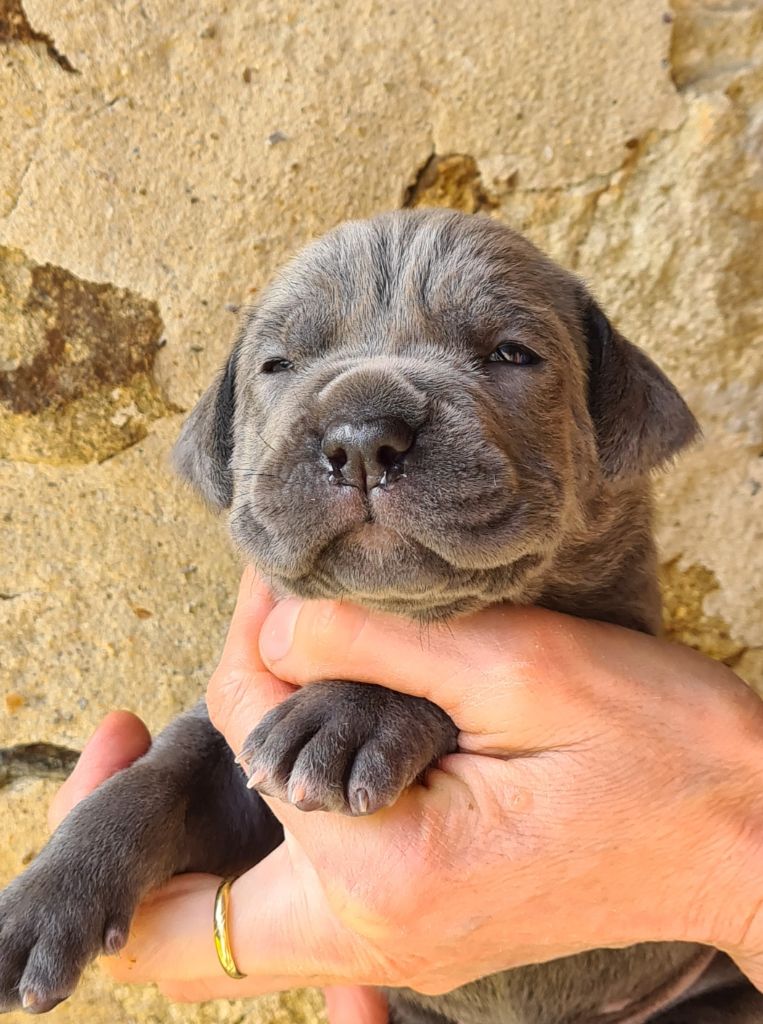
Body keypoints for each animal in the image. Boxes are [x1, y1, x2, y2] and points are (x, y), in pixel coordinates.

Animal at [0, 209, 757, 1024]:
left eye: (511, 353)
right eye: (278, 365)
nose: (362, 435)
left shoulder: (616, 621)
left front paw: (351, 714)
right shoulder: (223, 759)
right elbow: (153, 779)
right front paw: (39, 899)